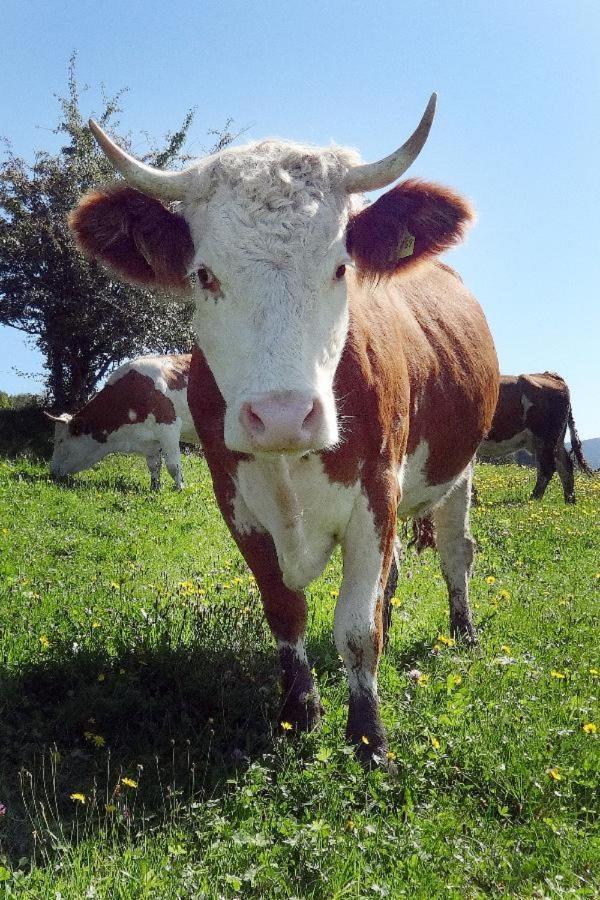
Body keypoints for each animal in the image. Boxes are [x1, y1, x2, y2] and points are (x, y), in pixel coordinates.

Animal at [48, 354, 199, 492]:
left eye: (60, 441)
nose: (52, 471)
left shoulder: (168, 428)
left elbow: (173, 466)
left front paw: (179, 489)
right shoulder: (151, 440)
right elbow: (154, 466)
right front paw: (154, 489)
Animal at [68, 93, 500, 768]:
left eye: (342, 267)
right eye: (204, 275)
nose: (280, 416)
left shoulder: (377, 491)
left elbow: (356, 628)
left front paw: (369, 737)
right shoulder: (236, 502)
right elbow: (286, 611)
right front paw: (300, 713)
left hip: (461, 470)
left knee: (456, 553)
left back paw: (464, 632)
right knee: (394, 574)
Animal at [476, 370, 592, 500]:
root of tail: (550, 375)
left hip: (545, 437)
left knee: (547, 468)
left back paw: (534, 499)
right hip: (554, 440)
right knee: (565, 465)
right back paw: (569, 500)